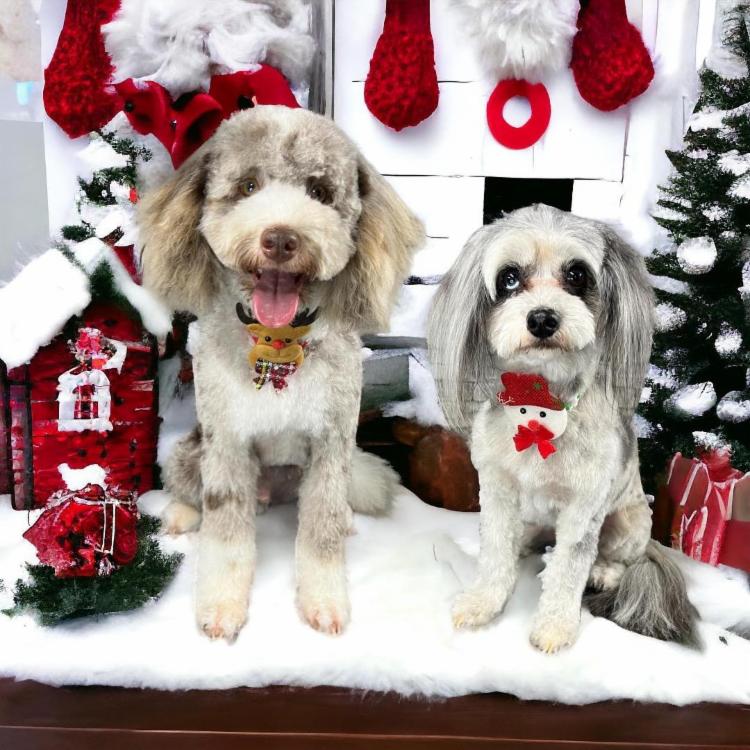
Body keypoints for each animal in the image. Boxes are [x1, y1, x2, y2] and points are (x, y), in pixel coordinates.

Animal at [139, 106, 424, 640]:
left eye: (320, 192)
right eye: (248, 186)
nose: (280, 238)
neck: (277, 343)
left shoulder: (332, 443)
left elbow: (321, 532)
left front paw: (325, 601)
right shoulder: (227, 442)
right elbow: (225, 532)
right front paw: (221, 607)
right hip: (193, 451)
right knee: (192, 489)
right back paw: (183, 514)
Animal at [428, 204, 699, 653]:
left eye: (577, 274)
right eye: (508, 277)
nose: (542, 318)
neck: (539, 405)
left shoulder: (584, 506)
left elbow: (571, 566)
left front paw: (555, 626)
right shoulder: (497, 490)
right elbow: (495, 552)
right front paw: (484, 601)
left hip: (628, 522)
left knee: (618, 558)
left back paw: (603, 571)